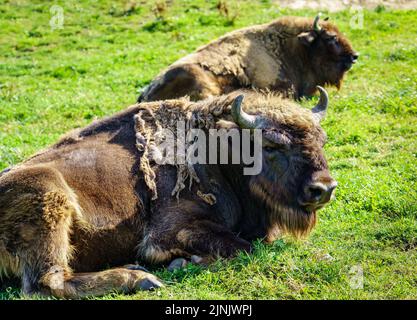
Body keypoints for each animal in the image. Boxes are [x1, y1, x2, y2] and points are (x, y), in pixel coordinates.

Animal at [0, 87, 336, 298]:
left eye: (321, 139)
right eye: (271, 144)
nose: (323, 188)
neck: (218, 152)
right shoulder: (168, 231)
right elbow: (243, 248)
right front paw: (182, 263)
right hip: (49, 195)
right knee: (47, 282)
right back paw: (142, 278)